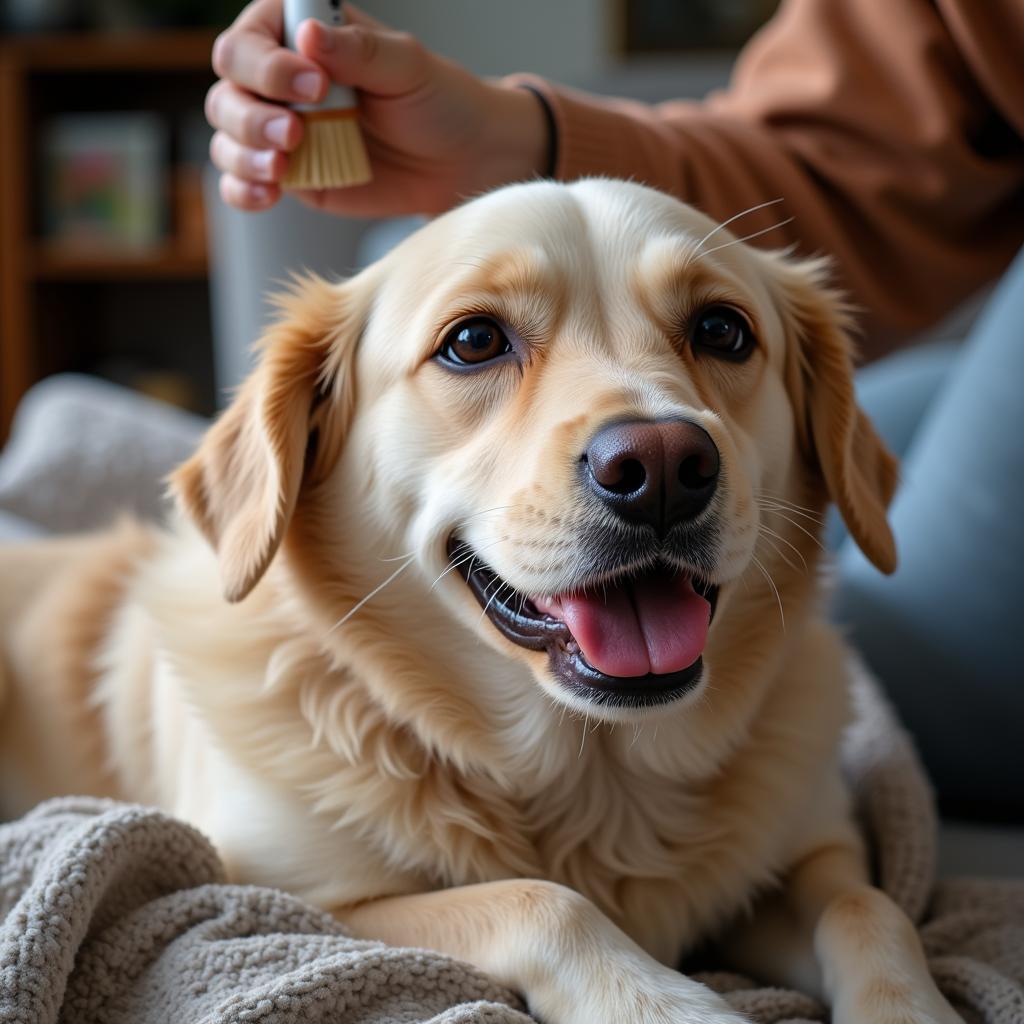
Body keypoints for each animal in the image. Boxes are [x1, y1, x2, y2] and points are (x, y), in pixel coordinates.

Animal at [0, 182, 958, 1024]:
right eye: (473, 341)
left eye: (722, 330)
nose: (661, 466)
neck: (597, 776)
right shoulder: (266, 895)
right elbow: (540, 899)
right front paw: (659, 1001)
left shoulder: (817, 853)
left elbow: (872, 908)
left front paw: (910, 1007)